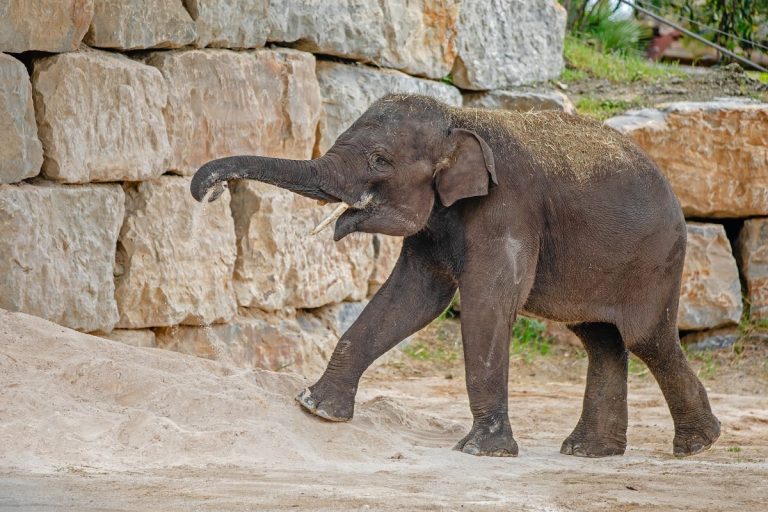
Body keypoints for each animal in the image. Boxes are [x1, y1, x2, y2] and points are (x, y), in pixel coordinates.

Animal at [190, 94, 720, 458]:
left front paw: (482, 452)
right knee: (600, 340)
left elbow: (486, 305)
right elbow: (412, 297)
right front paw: (315, 409)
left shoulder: (508, 209)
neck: (459, 118)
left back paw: (697, 445)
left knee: (646, 338)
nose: (210, 193)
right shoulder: (439, 219)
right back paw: (591, 451)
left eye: (380, 160)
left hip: (655, 260)